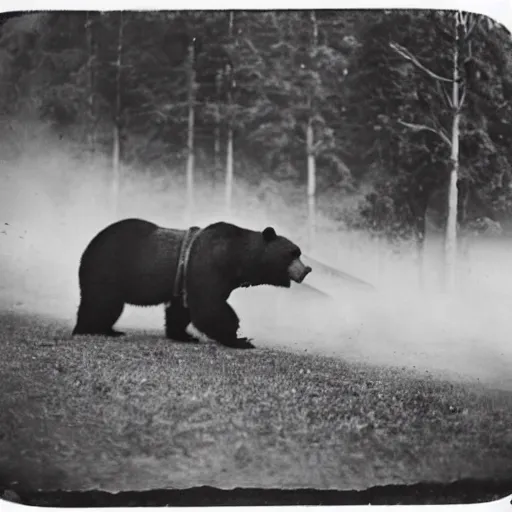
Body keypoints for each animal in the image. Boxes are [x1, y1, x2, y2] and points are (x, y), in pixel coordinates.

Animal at [72, 218, 312, 350]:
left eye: (299, 253)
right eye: (292, 253)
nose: (306, 270)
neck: (239, 260)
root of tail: (89, 246)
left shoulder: (185, 283)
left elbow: (182, 310)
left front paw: (184, 335)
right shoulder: (209, 266)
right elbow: (209, 308)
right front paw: (240, 338)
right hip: (110, 268)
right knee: (102, 303)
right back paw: (94, 329)